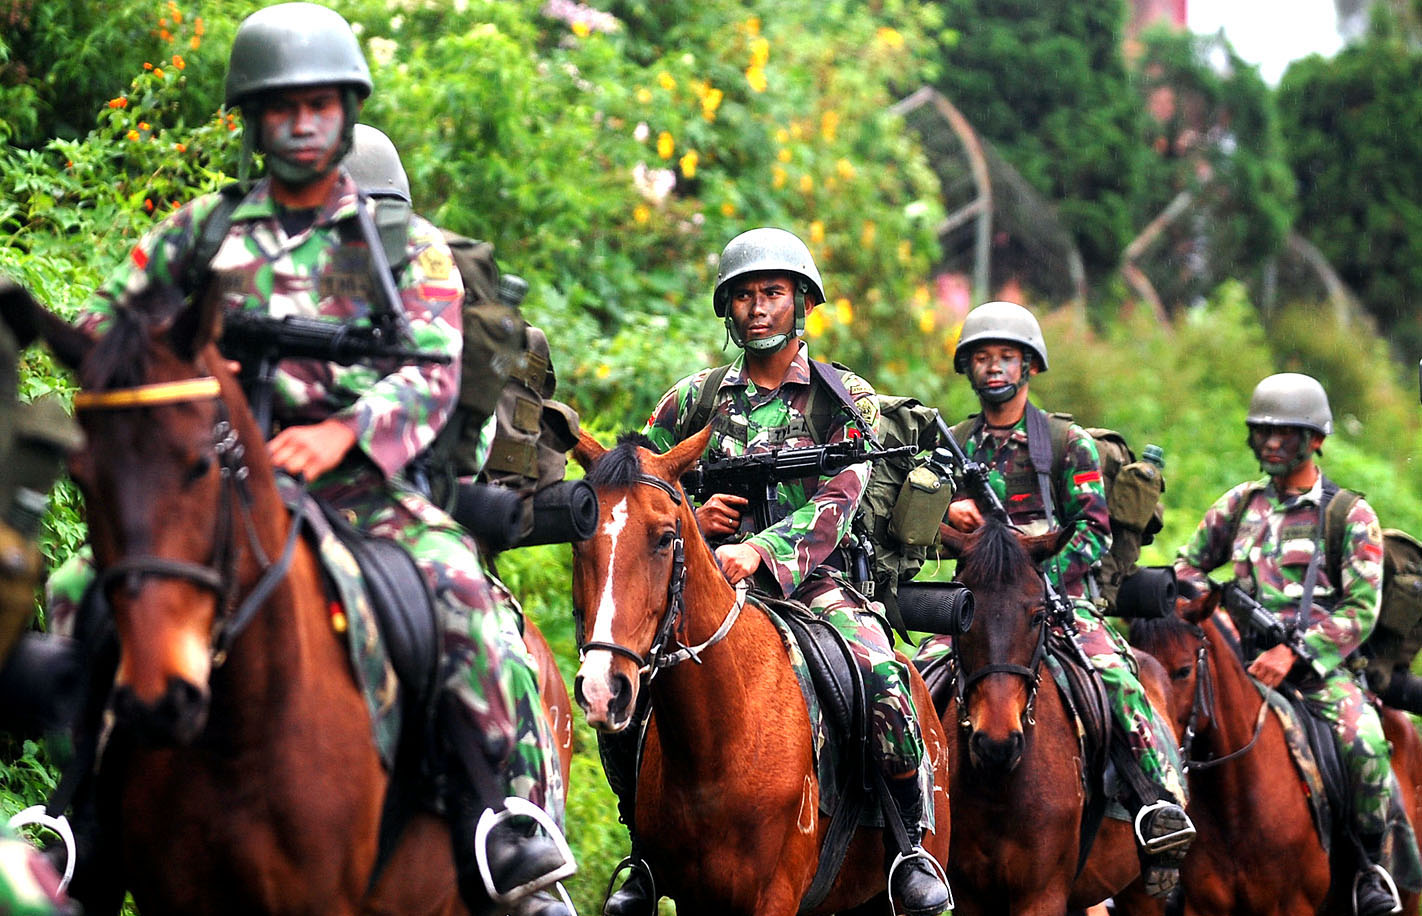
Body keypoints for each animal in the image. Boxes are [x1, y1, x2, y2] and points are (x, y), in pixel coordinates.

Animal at [568, 432, 955, 916]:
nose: (603, 688)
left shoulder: (774, 896)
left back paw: (917, 870)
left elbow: (842, 485)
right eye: (577, 538)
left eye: (666, 538)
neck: (717, 738)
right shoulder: (693, 898)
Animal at [932, 517, 1154, 916]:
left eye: (1038, 616)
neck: (998, 787)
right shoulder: (968, 895)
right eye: (963, 613)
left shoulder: (1042, 895)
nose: (997, 744)